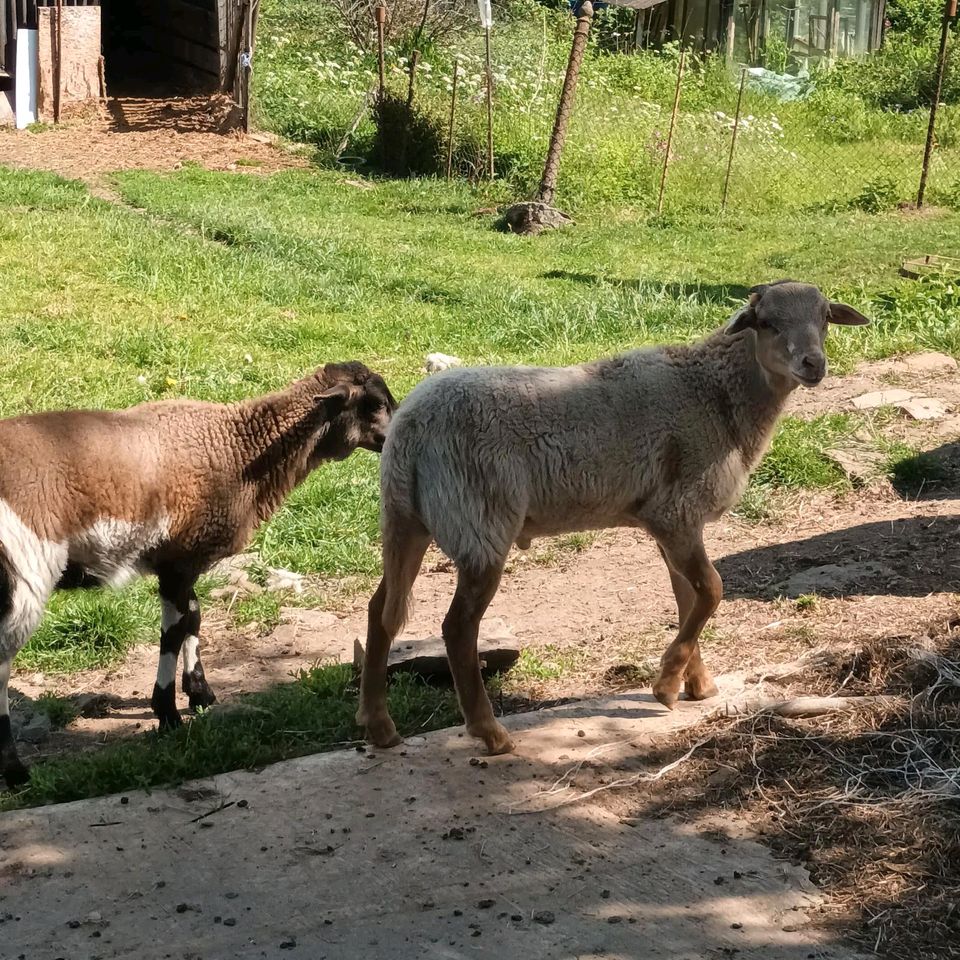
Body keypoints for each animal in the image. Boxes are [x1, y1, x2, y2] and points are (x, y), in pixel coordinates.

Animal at [356, 282, 868, 752]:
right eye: (766, 323)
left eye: (824, 318)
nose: (813, 364)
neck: (715, 394)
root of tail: (409, 429)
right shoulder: (677, 509)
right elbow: (712, 590)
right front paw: (666, 686)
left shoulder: (667, 520)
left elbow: (687, 597)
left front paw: (697, 685)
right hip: (478, 520)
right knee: (457, 628)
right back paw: (490, 733)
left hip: (406, 520)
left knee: (381, 610)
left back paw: (380, 726)